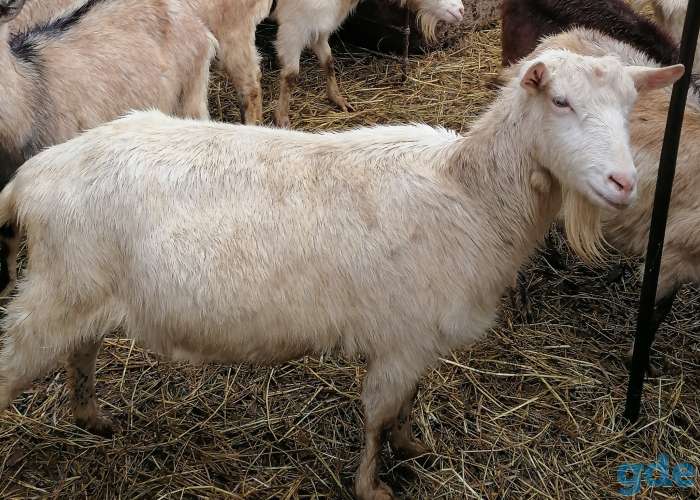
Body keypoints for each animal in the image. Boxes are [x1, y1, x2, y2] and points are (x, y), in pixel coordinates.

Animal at [0, 50, 681, 499]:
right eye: (560, 102)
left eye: (630, 109)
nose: (625, 183)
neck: (470, 194)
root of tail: (31, 177)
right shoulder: (401, 338)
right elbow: (377, 414)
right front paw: (372, 484)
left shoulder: (418, 338)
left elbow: (407, 402)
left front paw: (412, 446)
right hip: (54, 293)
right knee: (16, 362)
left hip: (82, 291)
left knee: (82, 351)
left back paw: (93, 417)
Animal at [270, 0, 465, 128]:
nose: (462, 10)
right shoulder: (294, 27)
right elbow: (291, 76)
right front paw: (282, 118)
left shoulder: (319, 25)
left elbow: (328, 62)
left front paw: (338, 99)